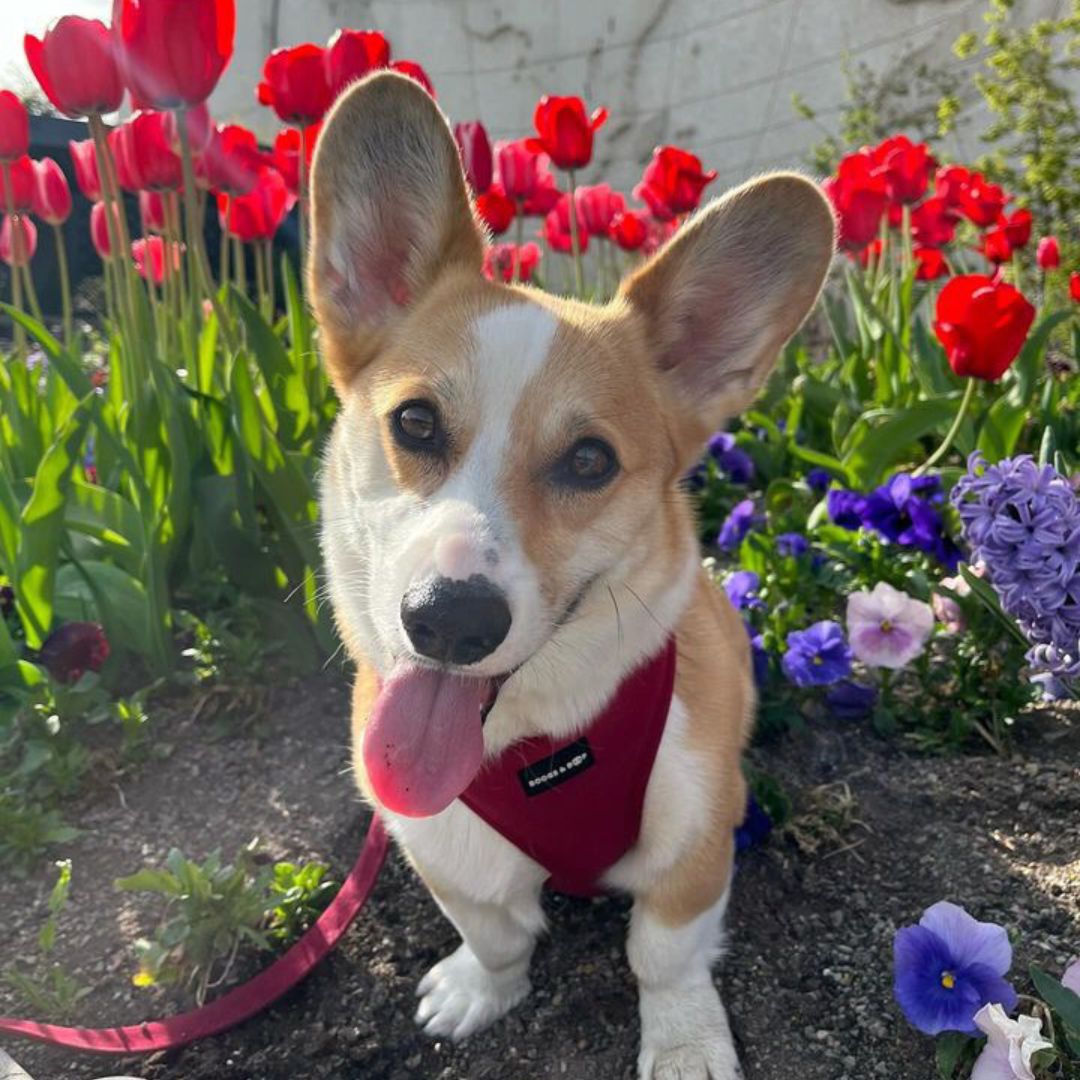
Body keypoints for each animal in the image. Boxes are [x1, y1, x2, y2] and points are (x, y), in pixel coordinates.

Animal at [311, 71, 833, 1075]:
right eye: (416, 423)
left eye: (590, 462)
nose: (449, 620)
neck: (532, 745)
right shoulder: (441, 844)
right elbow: (495, 932)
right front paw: (481, 990)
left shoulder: (694, 834)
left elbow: (663, 951)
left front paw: (684, 1043)